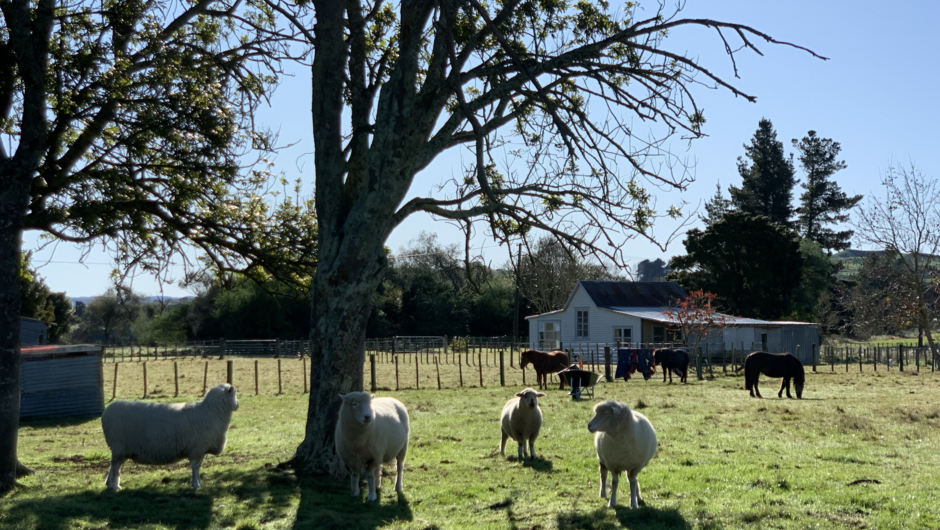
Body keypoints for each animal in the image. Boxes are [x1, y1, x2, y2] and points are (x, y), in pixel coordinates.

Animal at [101, 380, 241, 486]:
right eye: (234, 394)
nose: (238, 404)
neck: (212, 411)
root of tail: (106, 412)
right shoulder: (197, 449)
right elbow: (195, 467)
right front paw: (196, 484)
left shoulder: (199, 449)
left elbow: (198, 467)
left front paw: (198, 483)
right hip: (119, 447)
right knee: (115, 467)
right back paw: (115, 486)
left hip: (120, 449)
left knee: (114, 466)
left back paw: (109, 484)